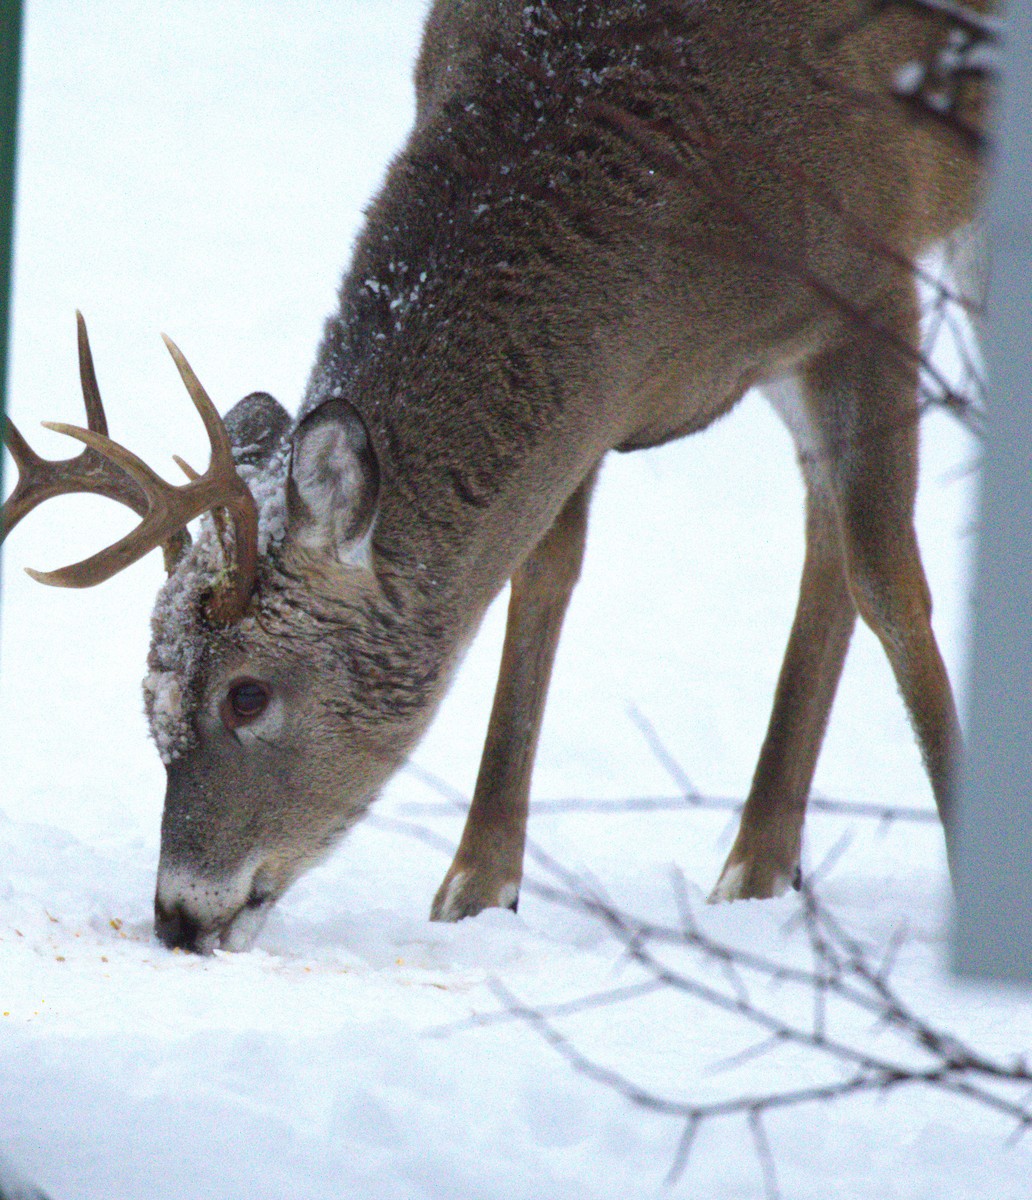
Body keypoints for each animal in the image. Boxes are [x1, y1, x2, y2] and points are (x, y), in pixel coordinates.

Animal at [1, 0, 988, 953]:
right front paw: (477, 889)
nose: (178, 917)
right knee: (822, 532)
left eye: (247, 693)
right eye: (149, 697)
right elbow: (542, 576)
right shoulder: (601, 397)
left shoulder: (871, 269)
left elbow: (891, 583)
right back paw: (758, 865)